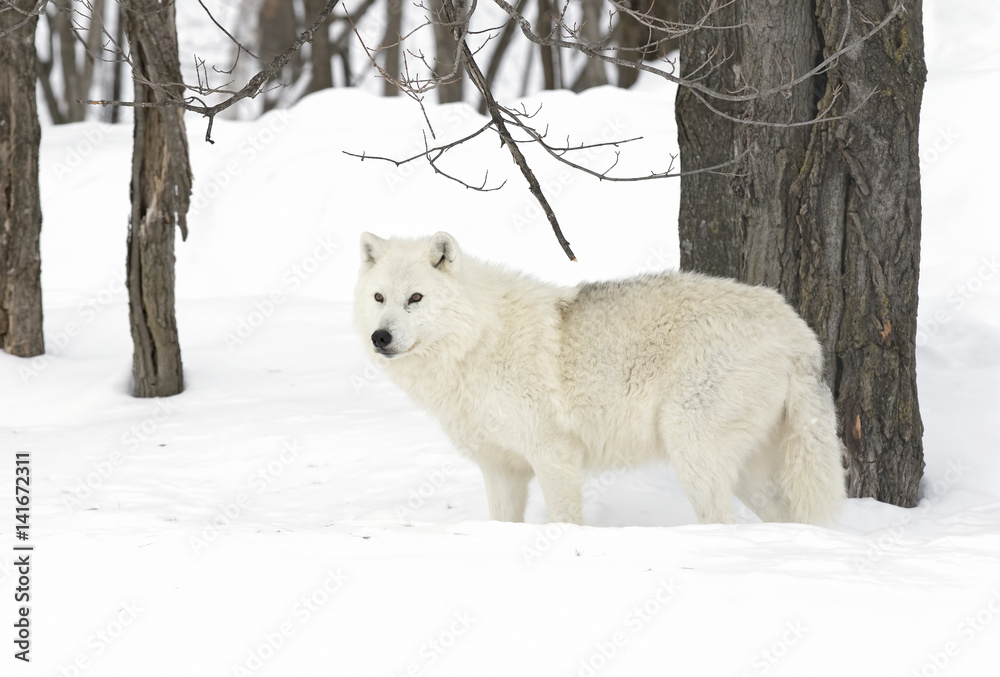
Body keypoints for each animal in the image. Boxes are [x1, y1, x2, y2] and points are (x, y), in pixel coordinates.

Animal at [354, 232, 845, 526]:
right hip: (748, 472)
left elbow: (565, 519)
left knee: (721, 521)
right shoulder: (500, 468)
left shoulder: (552, 454)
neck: (476, 342)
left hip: (692, 448)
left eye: (416, 298)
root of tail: (798, 331)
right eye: (379, 298)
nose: (381, 337)